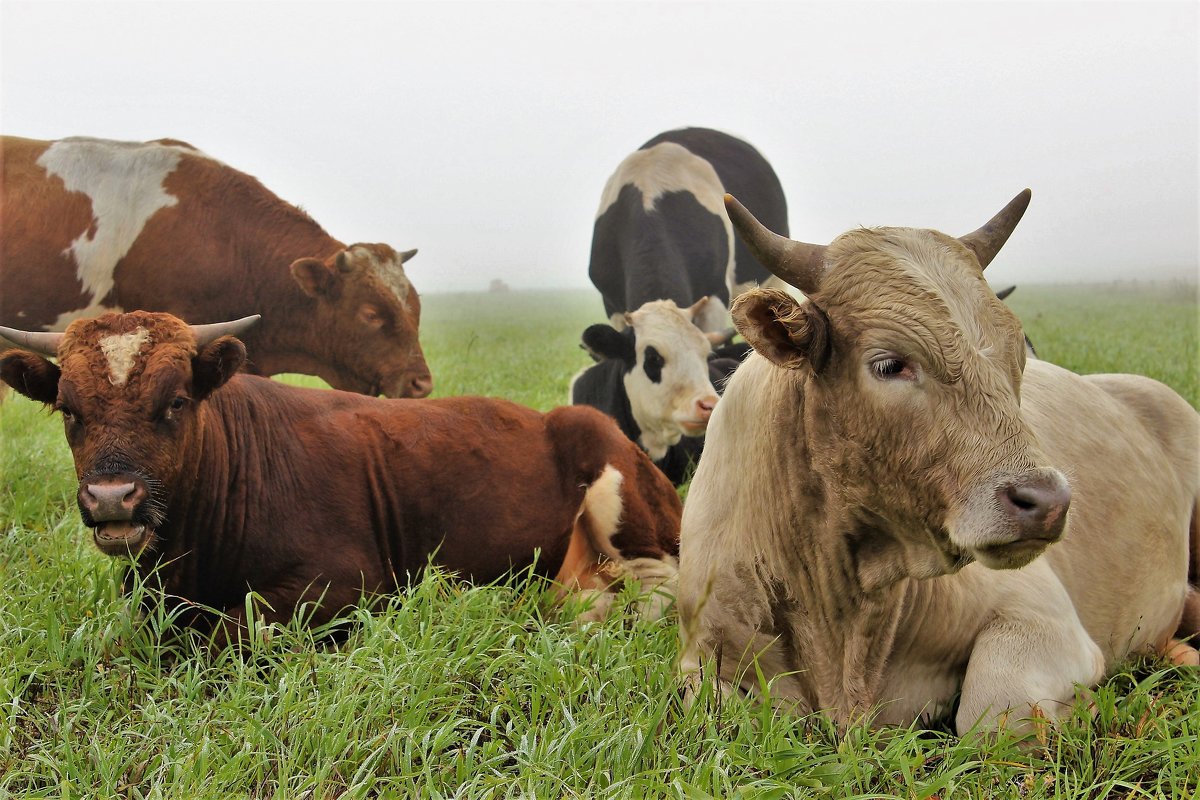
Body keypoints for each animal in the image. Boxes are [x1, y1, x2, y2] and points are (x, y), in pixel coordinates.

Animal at [0, 309, 681, 647]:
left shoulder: (351, 584)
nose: (112, 497)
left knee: (660, 593)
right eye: (69, 409)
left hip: (623, 492)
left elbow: (236, 625)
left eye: (176, 401)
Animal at [681, 191, 1200, 738]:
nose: (1048, 502)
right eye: (889, 364)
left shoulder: (1043, 617)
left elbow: (993, 713)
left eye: (1018, 356)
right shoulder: (701, 661)